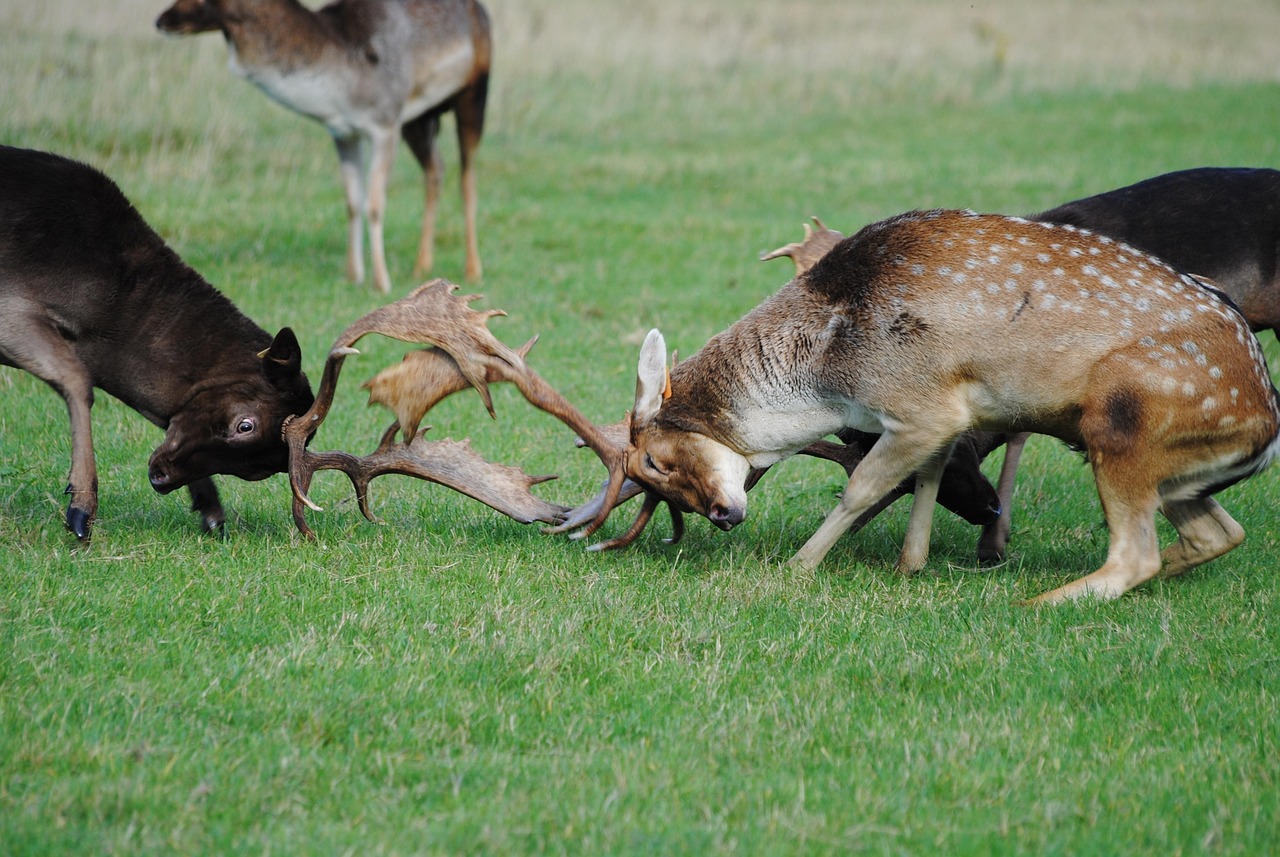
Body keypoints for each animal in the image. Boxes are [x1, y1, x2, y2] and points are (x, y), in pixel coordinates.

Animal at [0, 145, 314, 539]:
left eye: (258, 470)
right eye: (246, 425)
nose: (161, 477)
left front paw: (210, 509)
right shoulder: (9, 306)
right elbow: (77, 377)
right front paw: (81, 508)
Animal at [156, 0, 494, 294]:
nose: (161, 20)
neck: (339, 82)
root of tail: (480, 9)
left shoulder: (385, 124)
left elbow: (374, 204)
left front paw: (381, 282)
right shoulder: (344, 132)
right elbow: (352, 201)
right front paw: (352, 275)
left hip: (474, 93)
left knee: (467, 177)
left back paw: (473, 270)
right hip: (419, 119)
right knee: (436, 168)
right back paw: (421, 266)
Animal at [593, 209, 1274, 603]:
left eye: (656, 462)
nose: (723, 515)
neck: (828, 372)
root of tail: (1265, 431)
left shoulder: (919, 402)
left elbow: (863, 487)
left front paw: (798, 566)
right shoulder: (947, 417)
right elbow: (928, 475)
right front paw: (910, 564)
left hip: (1122, 422)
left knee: (1135, 554)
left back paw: (1039, 601)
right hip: (1180, 472)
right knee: (1219, 532)